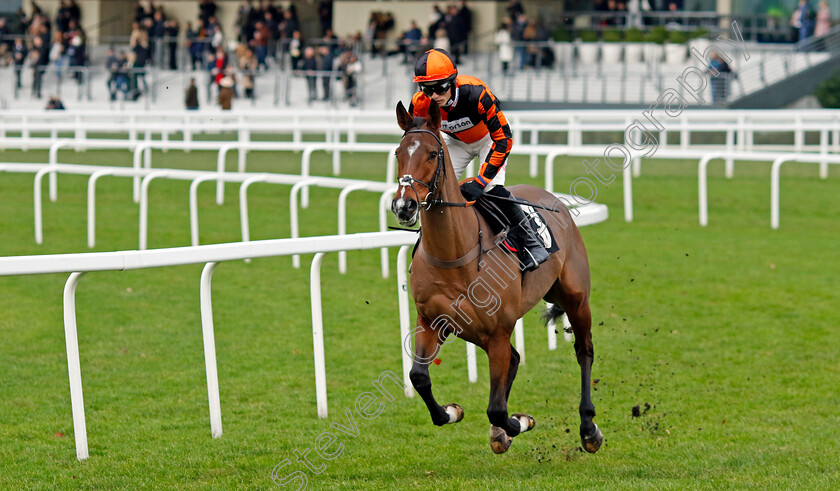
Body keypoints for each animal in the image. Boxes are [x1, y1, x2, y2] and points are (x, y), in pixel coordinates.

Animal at [390, 101, 600, 458]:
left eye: (432, 154)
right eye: (398, 153)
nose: (404, 205)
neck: (455, 252)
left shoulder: (499, 330)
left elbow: (498, 409)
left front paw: (520, 422)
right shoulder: (431, 320)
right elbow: (419, 377)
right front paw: (451, 411)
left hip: (575, 298)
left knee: (583, 351)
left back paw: (588, 429)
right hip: (475, 331)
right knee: (514, 359)